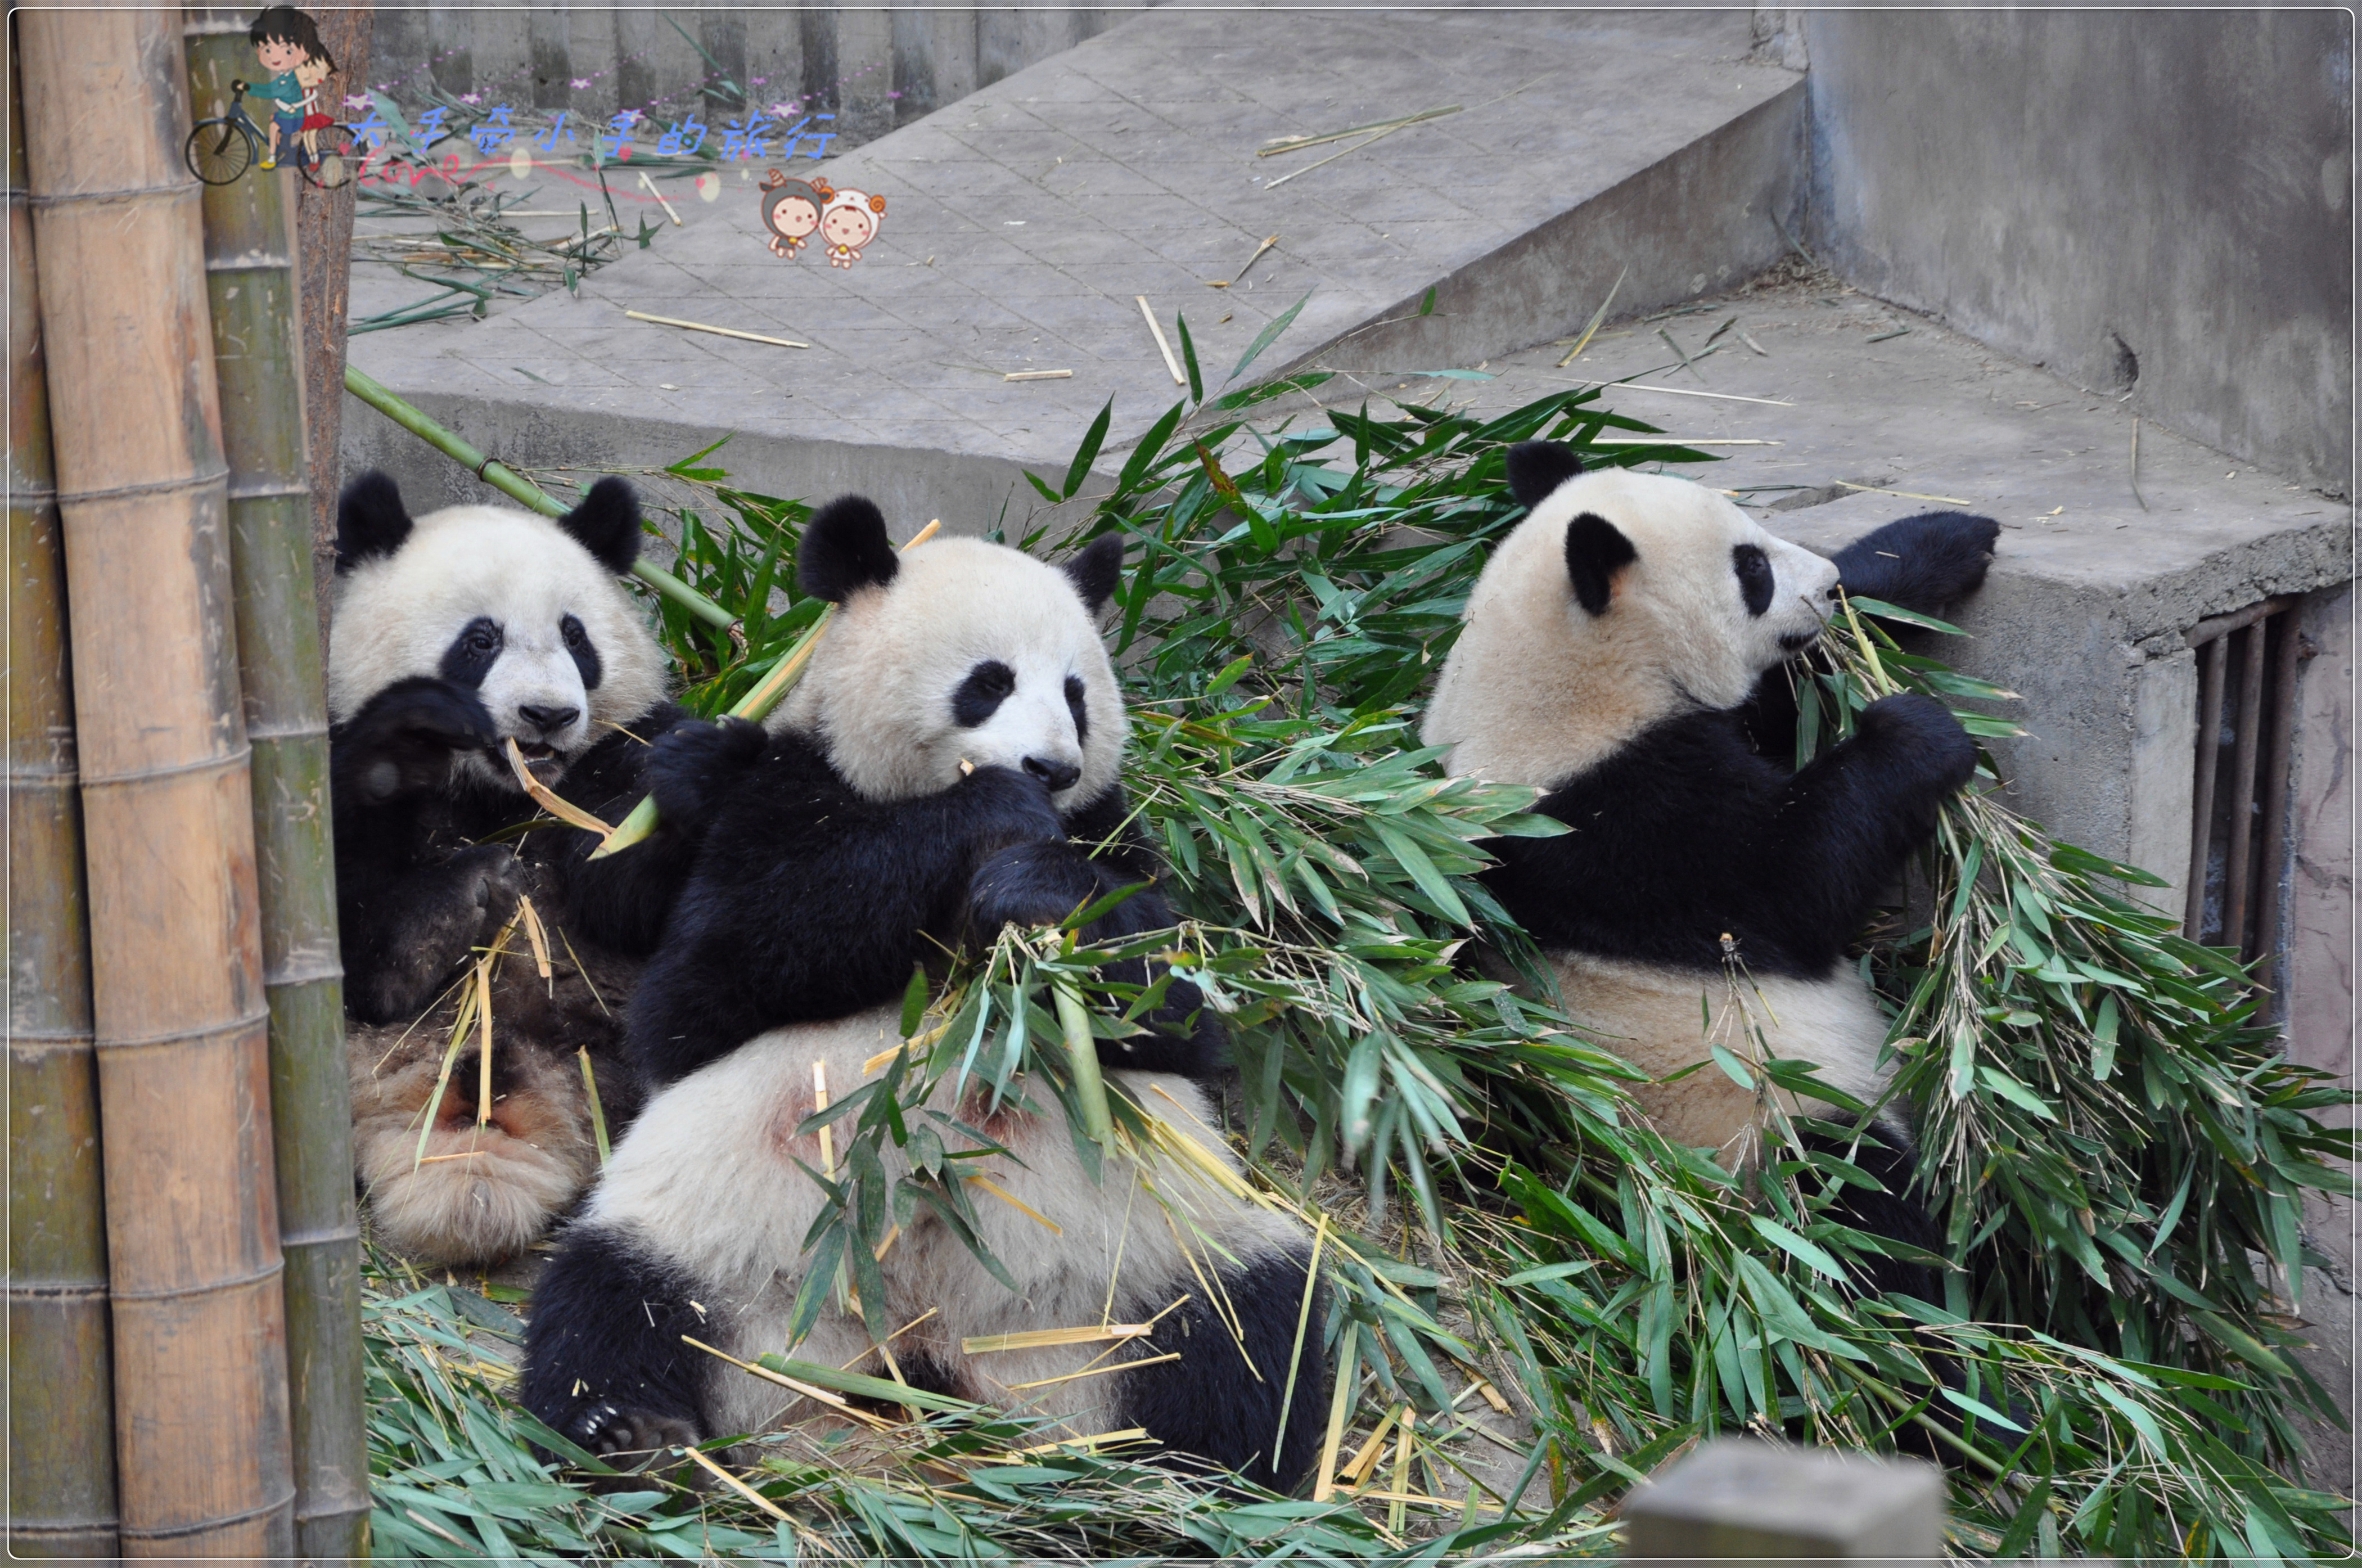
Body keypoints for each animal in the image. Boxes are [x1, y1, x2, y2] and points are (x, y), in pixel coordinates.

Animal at [331, 472, 699, 1265]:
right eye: (480, 639)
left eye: (575, 635)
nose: (548, 715)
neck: (498, 793)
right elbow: (340, 914)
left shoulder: (607, 758)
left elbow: (625, 884)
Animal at [1417, 441, 1993, 1294]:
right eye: (1749, 568)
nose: (1822, 580)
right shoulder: (1603, 823)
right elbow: (1784, 888)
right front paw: (1917, 731)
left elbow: (1793, 692)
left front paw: (1939, 545)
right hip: (1765, 1125)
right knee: (1851, 1198)